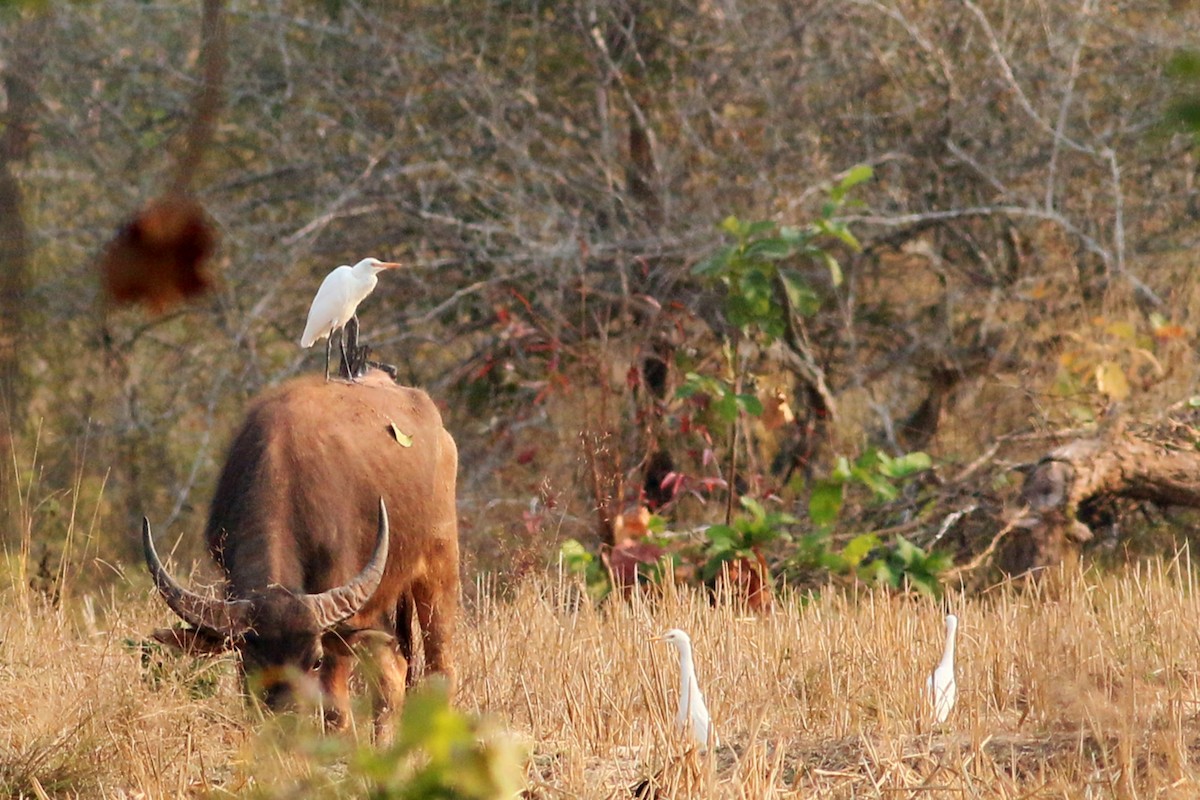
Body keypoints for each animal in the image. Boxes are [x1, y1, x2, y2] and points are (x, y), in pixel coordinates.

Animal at [142, 370, 459, 742]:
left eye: (315, 660)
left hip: (439, 564)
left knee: (439, 670)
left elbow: (335, 713)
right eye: (251, 661)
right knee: (391, 673)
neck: (283, 471)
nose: (285, 722)